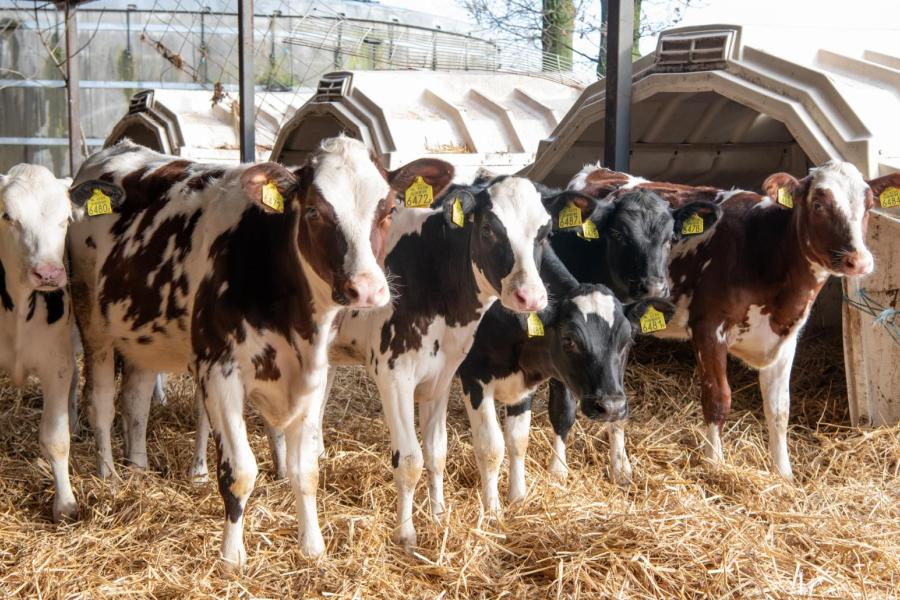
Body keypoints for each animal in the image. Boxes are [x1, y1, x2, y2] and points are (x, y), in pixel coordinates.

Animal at [68, 138, 458, 564]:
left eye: (388, 210)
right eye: (314, 211)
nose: (367, 289)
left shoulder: (313, 376)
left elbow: (306, 470)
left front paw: (313, 547)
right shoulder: (219, 373)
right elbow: (239, 472)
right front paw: (231, 557)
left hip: (141, 338)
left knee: (136, 401)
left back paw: (137, 469)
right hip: (94, 326)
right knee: (101, 403)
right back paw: (110, 476)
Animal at [326, 176, 596, 548]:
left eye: (545, 233)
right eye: (487, 229)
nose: (530, 297)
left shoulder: (442, 374)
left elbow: (436, 452)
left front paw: (438, 515)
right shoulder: (394, 374)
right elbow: (409, 459)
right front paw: (406, 534)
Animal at [458, 248, 676, 510]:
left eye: (627, 339)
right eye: (569, 340)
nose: (612, 407)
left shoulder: (524, 385)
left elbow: (521, 439)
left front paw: (519, 498)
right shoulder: (473, 377)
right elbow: (490, 447)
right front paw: (492, 510)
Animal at [568, 162, 888, 480]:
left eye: (869, 205)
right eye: (819, 204)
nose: (859, 261)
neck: (765, 251)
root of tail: (596, 171)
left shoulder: (784, 340)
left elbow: (779, 409)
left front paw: (784, 473)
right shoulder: (709, 329)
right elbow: (717, 399)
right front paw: (715, 464)